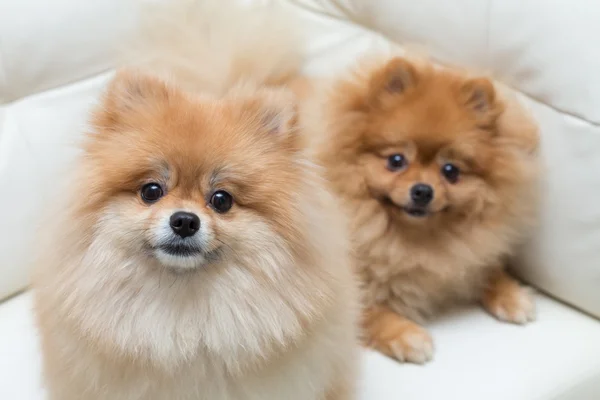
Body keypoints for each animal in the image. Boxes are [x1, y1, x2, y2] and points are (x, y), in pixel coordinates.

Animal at [302, 57, 540, 366]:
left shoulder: (467, 257)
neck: (410, 239)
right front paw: (407, 336)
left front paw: (512, 296)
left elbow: (486, 269)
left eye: (450, 170)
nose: (423, 190)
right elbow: (368, 311)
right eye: (396, 160)